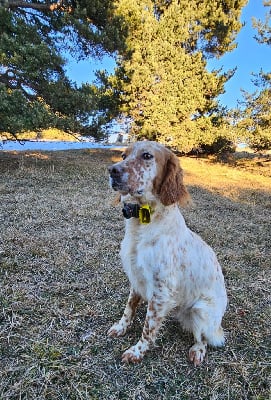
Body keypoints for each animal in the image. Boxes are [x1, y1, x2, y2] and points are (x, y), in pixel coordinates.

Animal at [108, 141, 227, 366]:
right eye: (123, 155)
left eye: (147, 155)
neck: (144, 220)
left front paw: (137, 351)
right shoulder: (136, 277)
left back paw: (197, 351)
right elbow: (129, 307)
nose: (112, 170)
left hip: (201, 311)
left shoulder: (161, 290)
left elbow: (148, 327)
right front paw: (121, 327)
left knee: (204, 338)